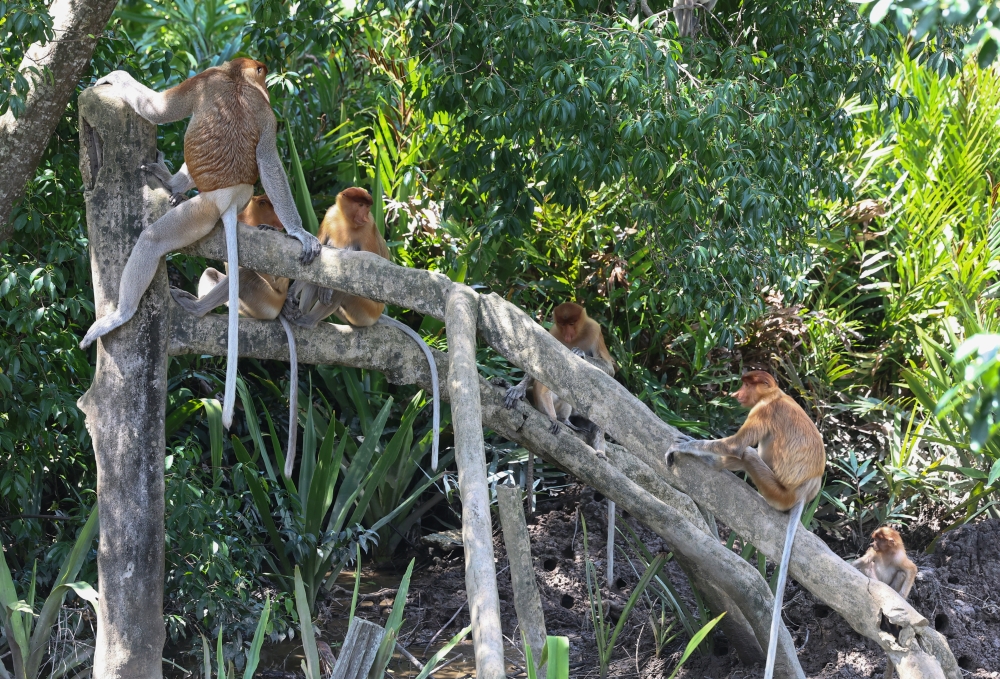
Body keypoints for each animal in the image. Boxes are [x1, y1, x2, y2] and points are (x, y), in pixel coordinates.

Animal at [78, 58, 322, 434]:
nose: (265, 78)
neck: (236, 76)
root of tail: (231, 197)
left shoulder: (204, 80)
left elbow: (158, 110)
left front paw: (115, 77)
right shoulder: (266, 112)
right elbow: (268, 158)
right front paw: (300, 233)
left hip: (202, 210)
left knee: (152, 240)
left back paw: (121, 313)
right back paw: (174, 184)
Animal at [281, 187, 441, 477]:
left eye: (368, 207)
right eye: (360, 204)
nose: (366, 214)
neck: (347, 222)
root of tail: (377, 317)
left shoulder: (368, 230)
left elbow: (366, 268)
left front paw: (326, 288)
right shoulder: (330, 216)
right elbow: (319, 250)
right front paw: (291, 294)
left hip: (365, 310)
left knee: (347, 282)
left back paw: (308, 320)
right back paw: (299, 313)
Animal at [666, 371, 825, 679]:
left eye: (747, 384)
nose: (735, 394)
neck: (775, 395)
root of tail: (802, 493)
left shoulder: (761, 412)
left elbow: (735, 445)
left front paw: (683, 445)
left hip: (776, 491)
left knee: (748, 453)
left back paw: (713, 463)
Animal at [853, 526, 918, 679]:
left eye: (878, 540)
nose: (872, 544)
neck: (886, 553)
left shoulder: (899, 558)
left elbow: (911, 570)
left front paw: (902, 599)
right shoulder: (874, 553)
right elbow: (863, 561)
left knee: (901, 573)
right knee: (868, 565)